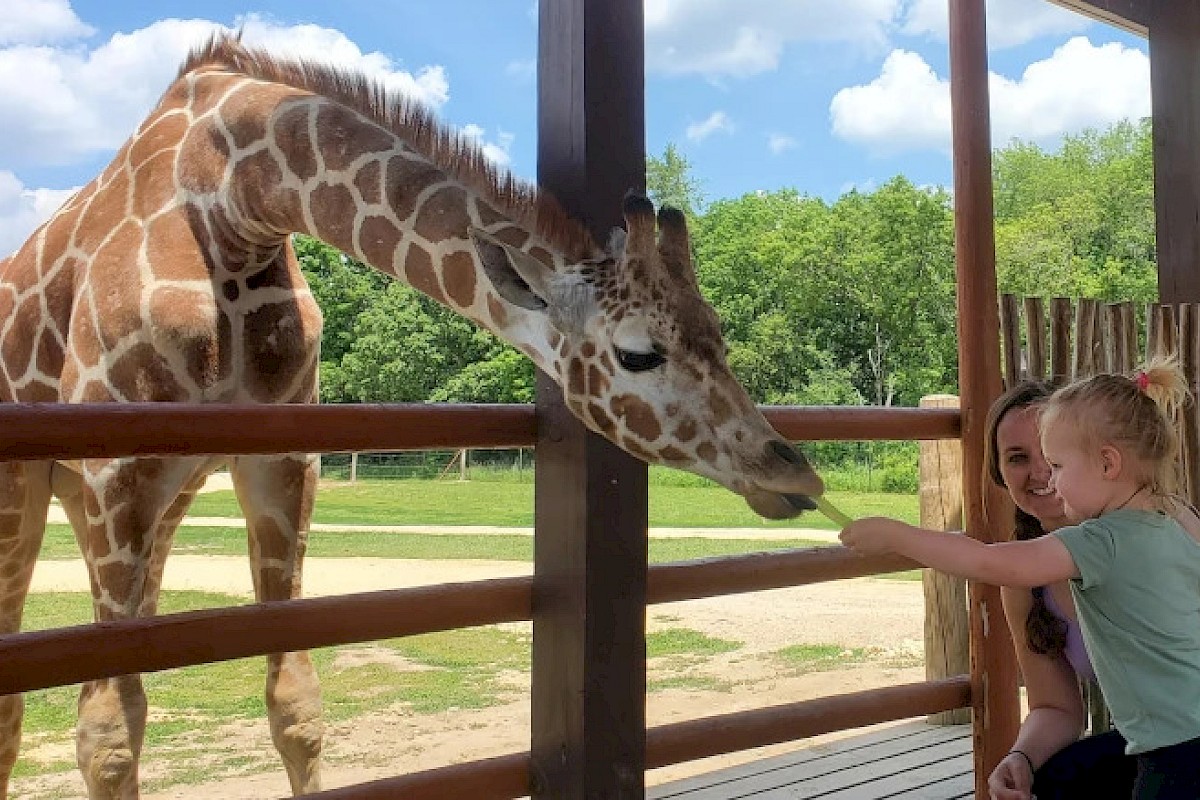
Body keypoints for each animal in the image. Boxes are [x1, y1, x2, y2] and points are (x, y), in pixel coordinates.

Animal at [0, 34, 824, 799]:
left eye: (719, 333)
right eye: (638, 354)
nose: (795, 475)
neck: (234, 203)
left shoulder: (279, 460)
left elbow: (294, 703)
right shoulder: (115, 470)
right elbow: (107, 734)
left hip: (165, 500)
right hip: (36, 494)